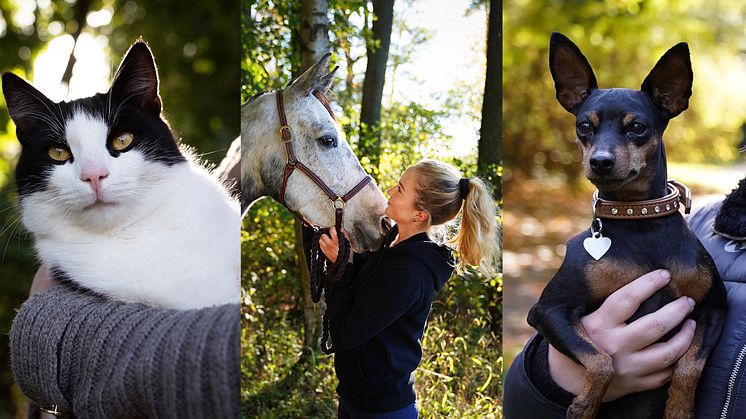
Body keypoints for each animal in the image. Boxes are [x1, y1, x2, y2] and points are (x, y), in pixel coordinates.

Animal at [528, 32, 728, 419]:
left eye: (637, 127)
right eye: (584, 126)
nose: (600, 161)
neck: (638, 217)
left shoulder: (714, 309)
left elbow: (691, 364)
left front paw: (679, 409)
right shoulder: (546, 311)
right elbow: (602, 359)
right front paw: (585, 405)